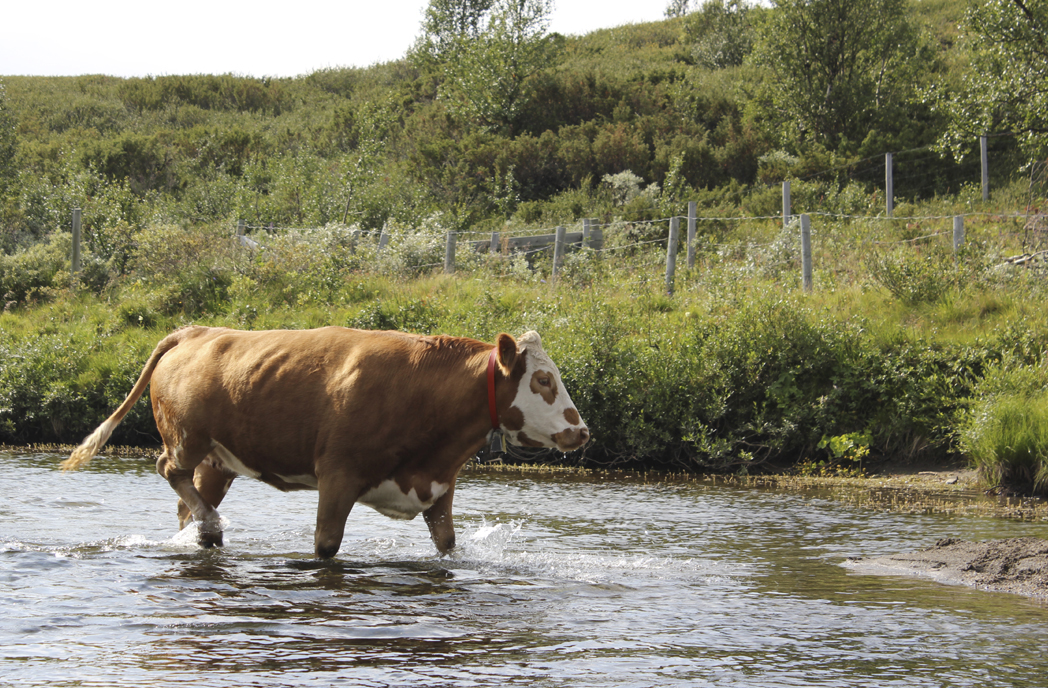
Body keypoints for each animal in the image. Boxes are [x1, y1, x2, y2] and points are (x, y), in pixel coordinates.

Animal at [61, 325, 591, 557]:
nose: (581, 430)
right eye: (544, 380)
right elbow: (326, 546)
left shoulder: (441, 487)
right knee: (167, 469)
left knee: (186, 500)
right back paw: (210, 525)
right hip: (187, 438)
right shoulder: (338, 474)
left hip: (217, 461)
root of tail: (198, 330)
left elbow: (447, 546)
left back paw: (204, 531)